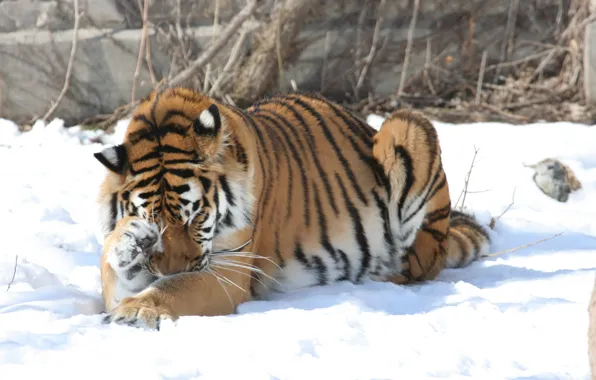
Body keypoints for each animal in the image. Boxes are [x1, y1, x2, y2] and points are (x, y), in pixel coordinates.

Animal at [95, 87, 492, 330]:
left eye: (196, 217)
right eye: (152, 219)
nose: (170, 268)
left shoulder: (230, 271)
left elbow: (174, 288)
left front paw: (136, 310)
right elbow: (113, 268)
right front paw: (128, 242)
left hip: (409, 125)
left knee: (420, 265)